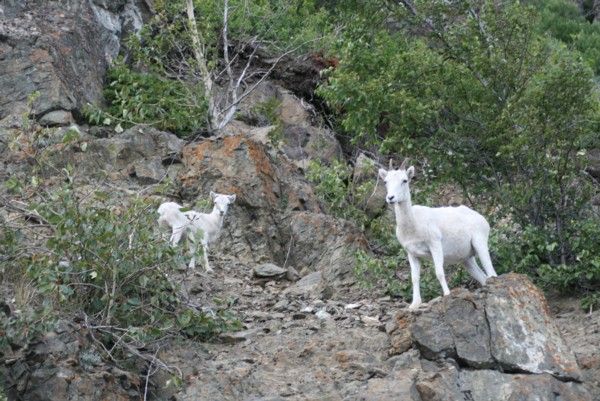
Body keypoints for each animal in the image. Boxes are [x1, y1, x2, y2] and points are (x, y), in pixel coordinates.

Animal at [380, 159, 496, 310]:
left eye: (404, 180)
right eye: (385, 181)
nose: (391, 198)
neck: (413, 226)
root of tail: (482, 219)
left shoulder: (435, 245)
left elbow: (439, 272)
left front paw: (447, 294)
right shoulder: (412, 254)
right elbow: (414, 278)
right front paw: (414, 304)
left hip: (480, 244)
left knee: (492, 273)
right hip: (467, 260)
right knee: (484, 277)